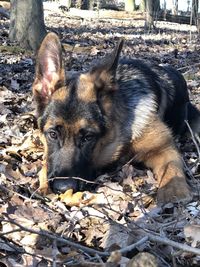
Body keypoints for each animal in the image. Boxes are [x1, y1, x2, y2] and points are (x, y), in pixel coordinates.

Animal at [32, 32, 198, 204]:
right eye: (53, 134)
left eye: (88, 137)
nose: (63, 188)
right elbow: (44, 165)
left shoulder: (164, 148)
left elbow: (172, 168)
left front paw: (173, 190)